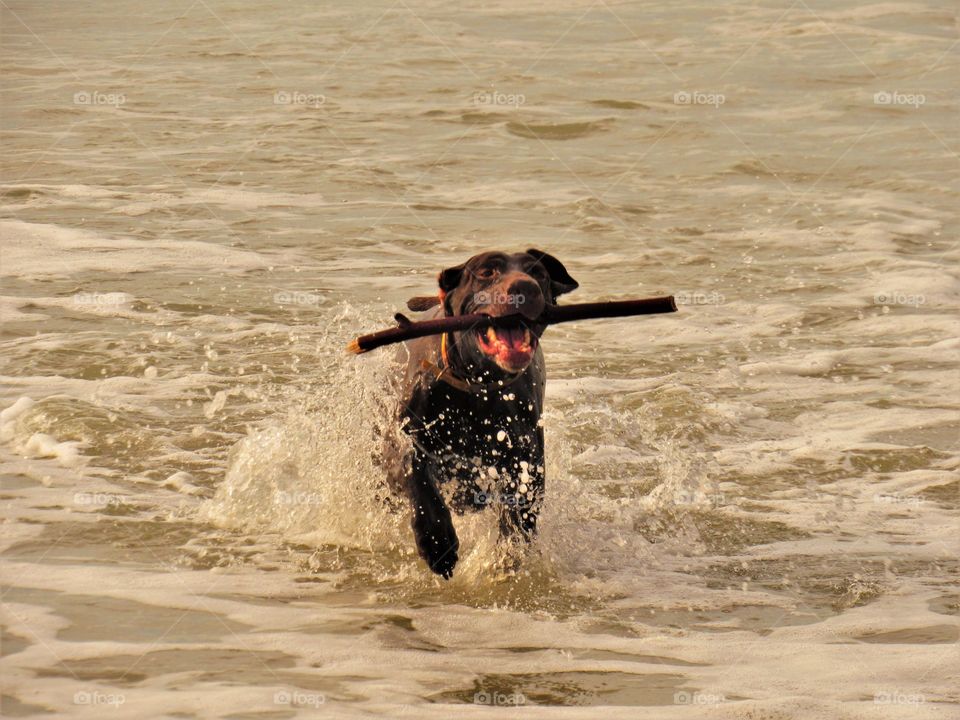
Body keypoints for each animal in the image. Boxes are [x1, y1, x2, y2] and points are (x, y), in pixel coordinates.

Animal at [386, 250, 580, 576]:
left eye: (538, 273)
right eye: (487, 272)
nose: (524, 288)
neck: (476, 386)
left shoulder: (527, 461)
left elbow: (519, 513)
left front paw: (508, 555)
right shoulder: (407, 438)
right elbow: (417, 476)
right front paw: (437, 541)